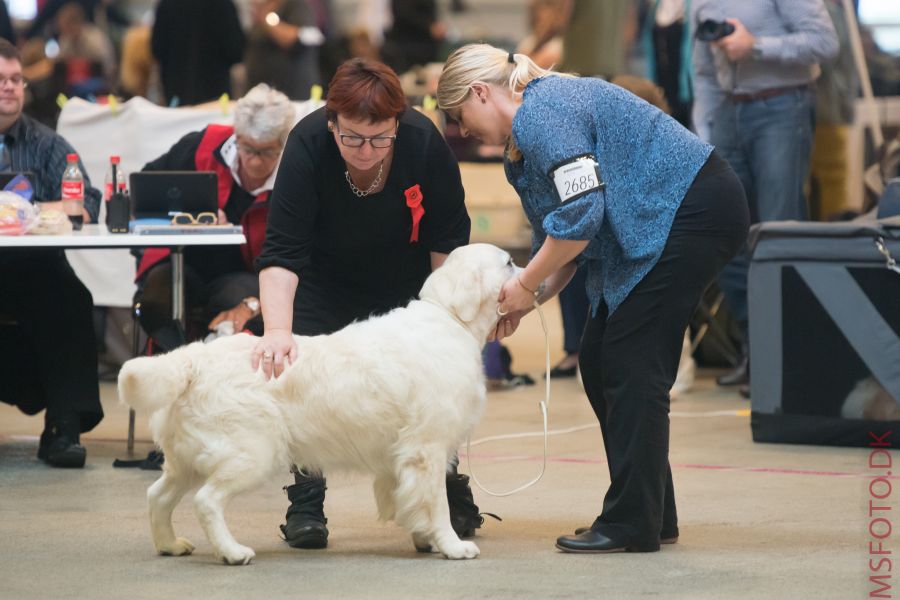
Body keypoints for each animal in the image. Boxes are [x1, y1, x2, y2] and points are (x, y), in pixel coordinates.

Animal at [118, 243, 520, 564]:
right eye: (509, 263)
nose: (526, 279)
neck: (451, 319)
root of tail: (193, 359)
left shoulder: (406, 456)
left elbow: (412, 499)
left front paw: (425, 538)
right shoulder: (428, 449)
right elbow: (436, 502)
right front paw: (452, 545)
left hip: (185, 459)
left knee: (158, 496)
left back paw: (170, 545)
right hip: (250, 454)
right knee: (206, 501)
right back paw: (233, 552)